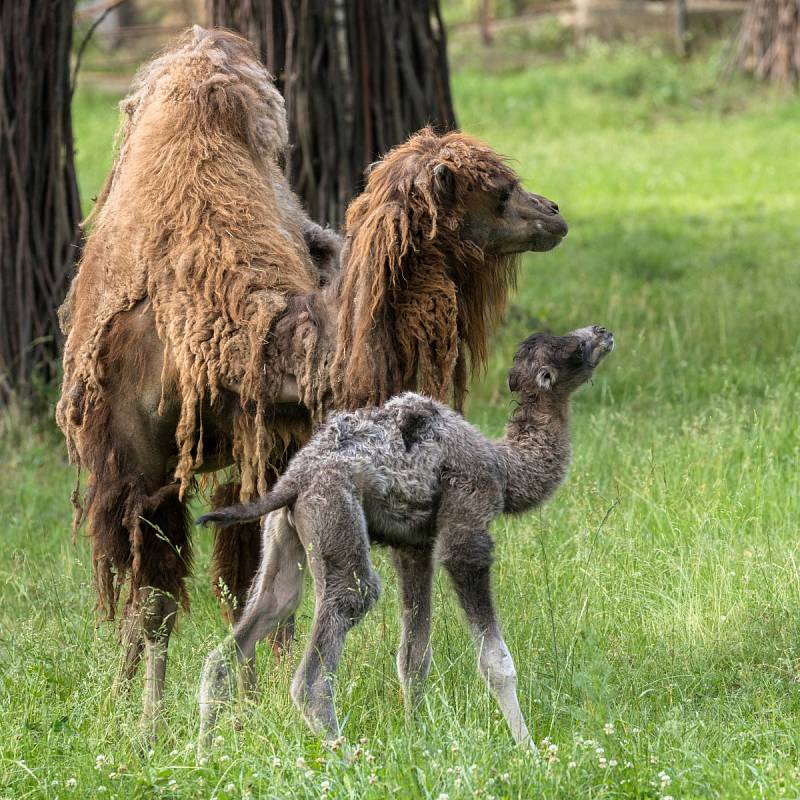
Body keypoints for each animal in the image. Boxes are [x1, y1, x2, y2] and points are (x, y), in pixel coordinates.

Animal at [57, 26, 568, 732]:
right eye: (498, 188)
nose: (553, 212)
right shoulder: (139, 465)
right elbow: (156, 600)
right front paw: (143, 726)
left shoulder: (275, 448)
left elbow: (257, 583)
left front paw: (250, 709)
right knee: (136, 585)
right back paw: (133, 695)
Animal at [197, 324, 616, 744]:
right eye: (574, 348)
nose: (602, 332)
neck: (505, 467)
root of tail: (293, 480)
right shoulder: (468, 523)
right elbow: (496, 661)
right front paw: (527, 747)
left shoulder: (413, 546)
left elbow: (414, 657)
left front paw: (416, 735)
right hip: (336, 518)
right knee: (318, 667)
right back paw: (345, 753)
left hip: (286, 534)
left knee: (246, 632)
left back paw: (205, 751)